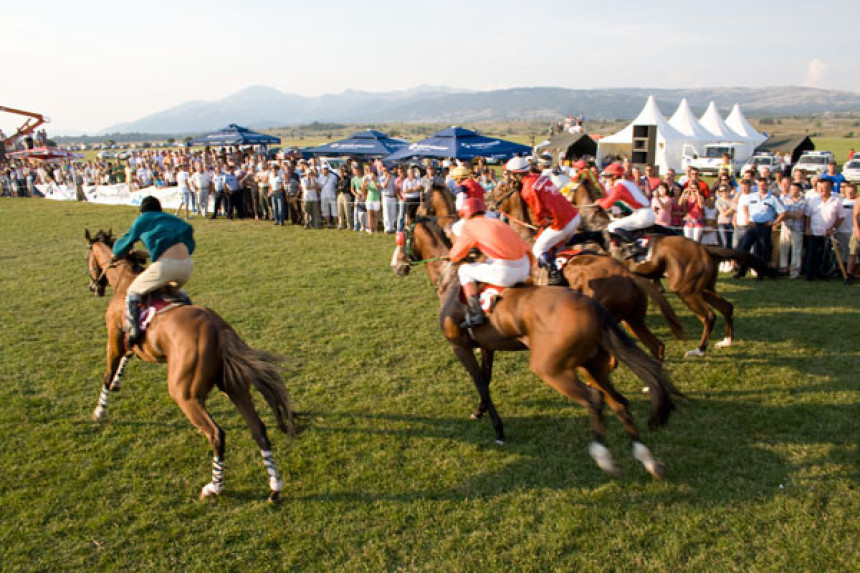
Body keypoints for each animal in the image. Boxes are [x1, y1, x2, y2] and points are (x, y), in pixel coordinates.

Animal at [85, 229, 296, 500]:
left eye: (87, 257)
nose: (93, 287)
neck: (124, 283)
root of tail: (219, 329)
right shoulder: (130, 345)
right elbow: (125, 361)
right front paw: (118, 385)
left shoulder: (113, 339)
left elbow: (108, 374)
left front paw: (100, 411)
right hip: (234, 386)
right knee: (257, 429)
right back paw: (275, 487)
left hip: (185, 394)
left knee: (217, 434)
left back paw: (214, 487)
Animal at [392, 219, 684, 478]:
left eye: (400, 235)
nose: (396, 265)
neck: (451, 283)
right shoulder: (486, 345)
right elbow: (486, 378)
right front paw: (480, 411)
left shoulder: (460, 346)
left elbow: (481, 383)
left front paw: (498, 430)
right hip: (610, 344)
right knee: (623, 393)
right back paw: (647, 456)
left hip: (555, 366)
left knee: (595, 398)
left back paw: (605, 456)